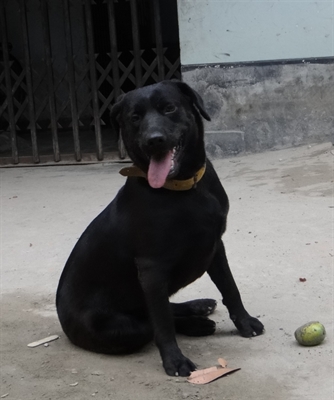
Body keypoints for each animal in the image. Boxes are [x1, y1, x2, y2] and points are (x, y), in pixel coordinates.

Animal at [56, 80, 264, 376]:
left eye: (169, 108)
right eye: (135, 117)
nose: (154, 140)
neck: (183, 190)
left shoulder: (215, 247)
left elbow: (230, 288)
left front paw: (245, 323)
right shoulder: (151, 269)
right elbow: (162, 323)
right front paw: (175, 361)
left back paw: (198, 307)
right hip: (120, 328)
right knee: (150, 323)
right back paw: (196, 322)